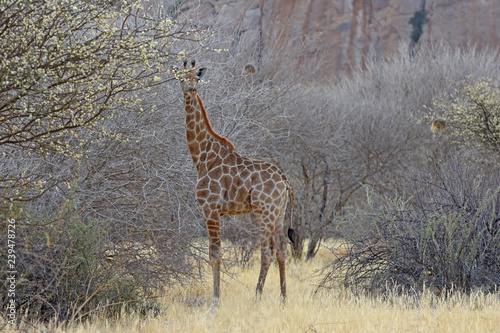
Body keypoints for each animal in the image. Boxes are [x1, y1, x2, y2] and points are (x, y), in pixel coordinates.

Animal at [176, 59, 294, 306]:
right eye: (182, 77)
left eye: (197, 77)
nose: (191, 89)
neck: (201, 156)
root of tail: (285, 180)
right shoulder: (215, 210)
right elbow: (214, 253)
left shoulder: (210, 208)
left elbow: (215, 254)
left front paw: (214, 302)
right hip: (278, 213)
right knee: (281, 249)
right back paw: (283, 299)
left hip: (264, 211)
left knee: (266, 251)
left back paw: (257, 297)